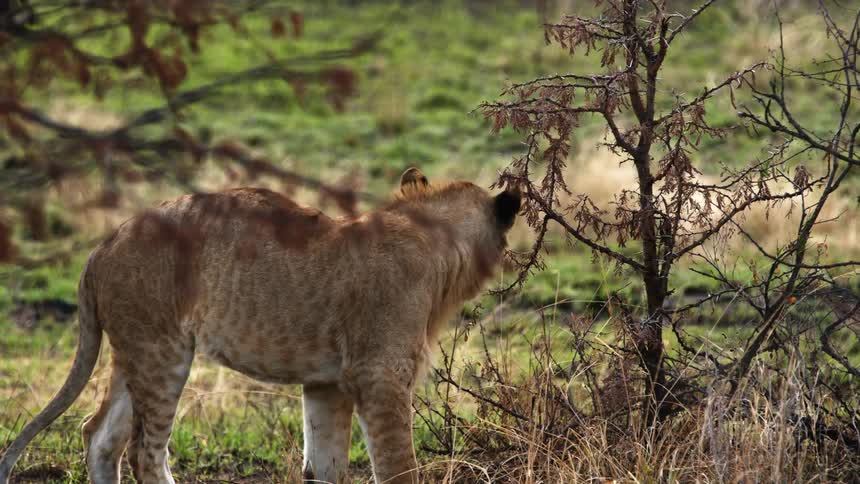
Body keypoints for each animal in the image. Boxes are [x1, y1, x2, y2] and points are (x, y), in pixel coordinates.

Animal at [0, 167, 521, 484]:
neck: (437, 245)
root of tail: (103, 245)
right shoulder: (380, 377)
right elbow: (398, 469)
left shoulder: (326, 384)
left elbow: (326, 467)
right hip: (162, 352)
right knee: (143, 453)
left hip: (133, 350)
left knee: (99, 436)